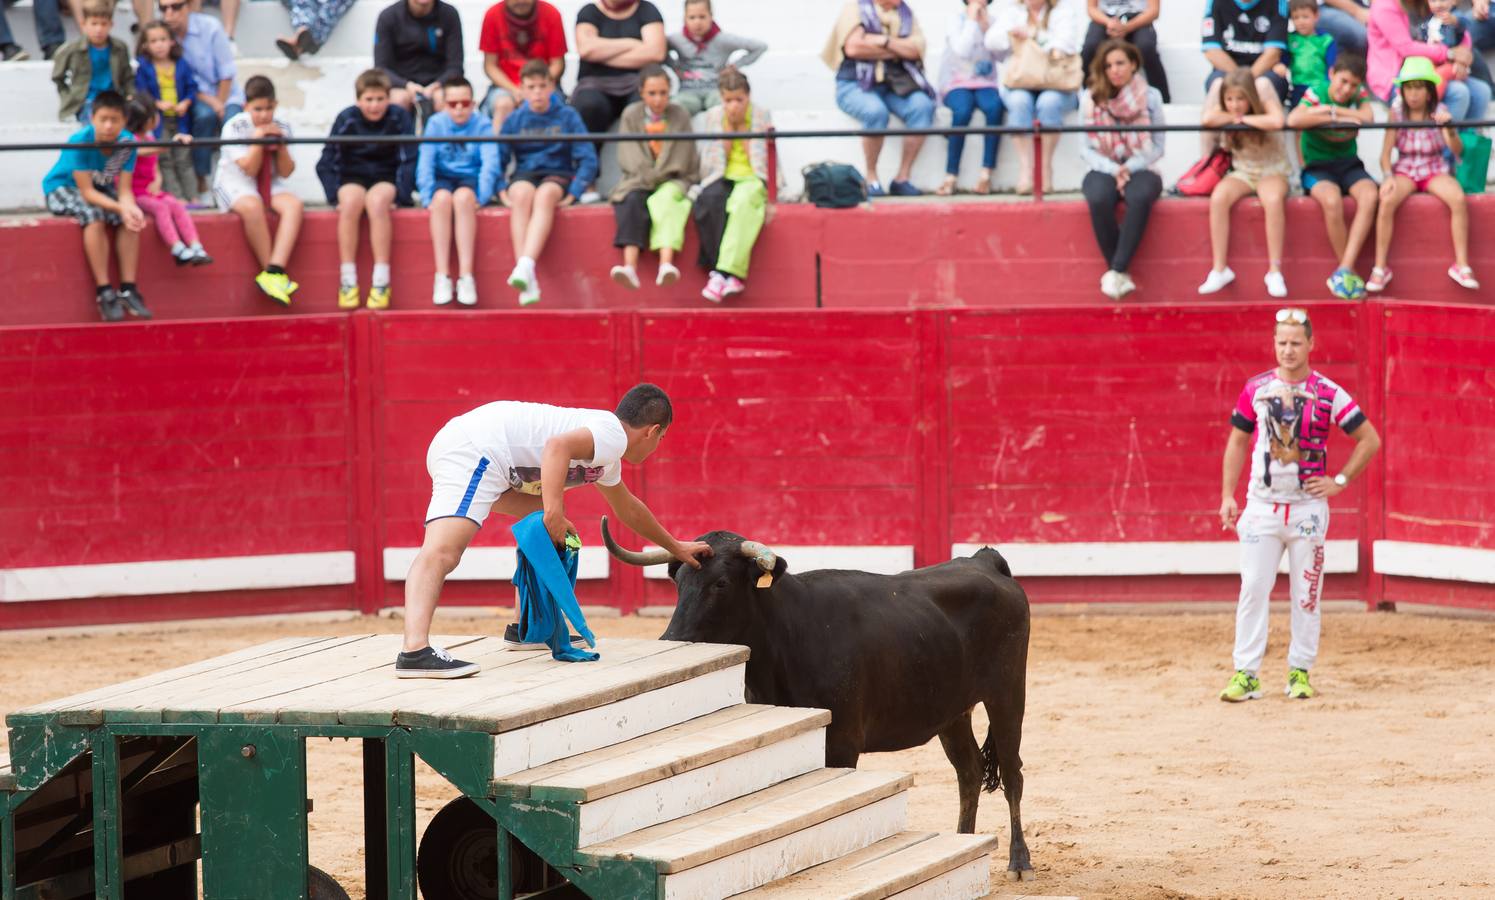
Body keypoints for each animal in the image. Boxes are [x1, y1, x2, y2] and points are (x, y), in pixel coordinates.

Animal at [600, 517, 1034, 873]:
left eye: (720, 583)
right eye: (678, 583)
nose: (672, 639)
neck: (787, 635)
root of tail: (983, 561)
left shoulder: (841, 742)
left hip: (1008, 693)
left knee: (1012, 772)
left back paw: (1019, 860)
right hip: (952, 710)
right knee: (969, 772)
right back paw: (964, 841)